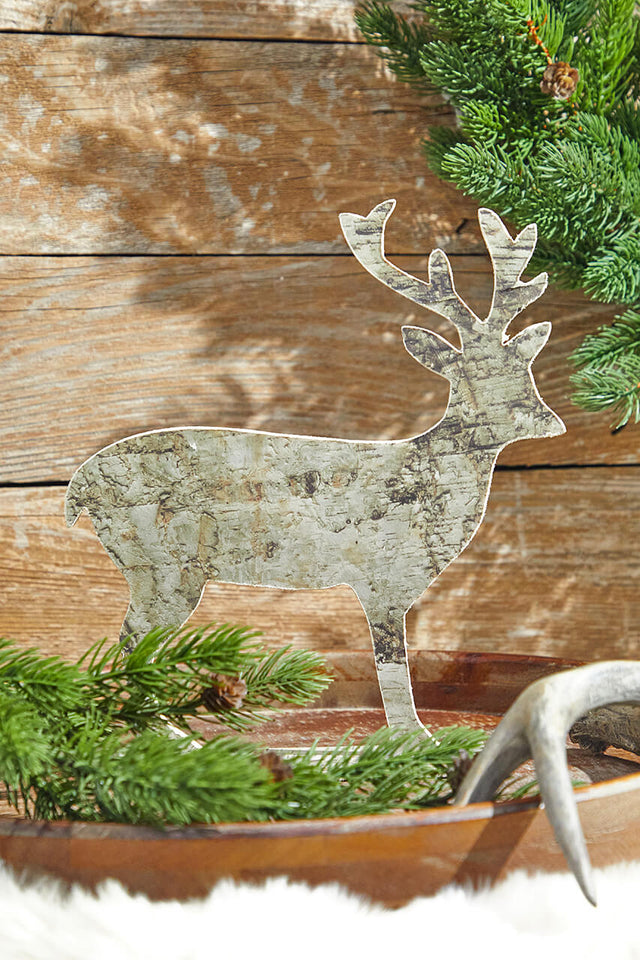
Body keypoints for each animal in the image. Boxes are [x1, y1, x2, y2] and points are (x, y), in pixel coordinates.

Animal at [65, 200, 640, 903]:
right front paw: (417, 741)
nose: (550, 422)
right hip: (162, 568)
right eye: (471, 377)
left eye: (523, 366)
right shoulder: (383, 581)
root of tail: (78, 490)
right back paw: (177, 744)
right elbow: (393, 669)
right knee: (127, 651)